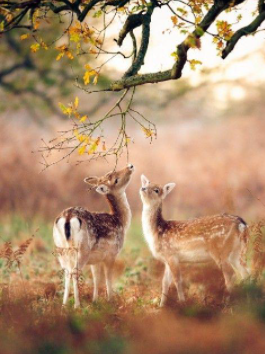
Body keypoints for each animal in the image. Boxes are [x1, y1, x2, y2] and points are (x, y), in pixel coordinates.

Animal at [52, 163, 134, 306]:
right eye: (115, 179)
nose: (130, 166)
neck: (120, 221)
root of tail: (67, 218)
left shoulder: (95, 260)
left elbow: (96, 278)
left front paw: (95, 301)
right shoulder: (111, 254)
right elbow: (108, 277)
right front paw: (110, 300)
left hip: (60, 249)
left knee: (66, 271)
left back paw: (64, 304)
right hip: (82, 249)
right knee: (75, 272)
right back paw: (77, 305)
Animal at [139, 175, 249, 306]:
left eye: (156, 190)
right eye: (146, 183)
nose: (143, 188)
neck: (158, 231)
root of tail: (241, 224)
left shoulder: (171, 255)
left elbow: (177, 280)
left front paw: (182, 303)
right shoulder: (166, 259)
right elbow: (165, 282)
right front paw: (161, 306)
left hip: (220, 250)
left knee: (231, 274)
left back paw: (226, 303)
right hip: (235, 252)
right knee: (245, 271)